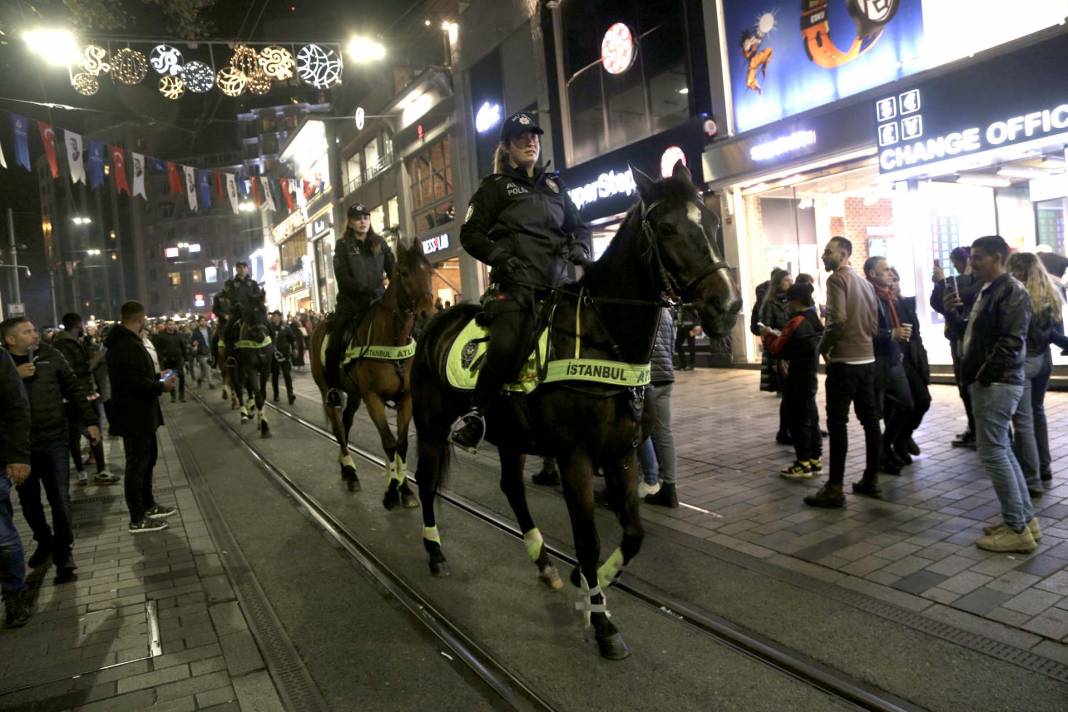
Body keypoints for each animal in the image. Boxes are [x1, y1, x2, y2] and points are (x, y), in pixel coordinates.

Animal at [311, 242, 435, 503]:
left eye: (429, 270)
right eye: (404, 273)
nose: (427, 313)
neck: (392, 339)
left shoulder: (406, 399)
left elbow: (401, 444)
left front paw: (405, 489)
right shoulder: (373, 399)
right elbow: (388, 443)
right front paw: (392, 491)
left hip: (353, 394)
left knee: (346, 423)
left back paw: (345, 469)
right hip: (328, 389)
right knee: (338, 428)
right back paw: (351, 472)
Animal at [407, 163, 743, 661]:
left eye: (713, 221)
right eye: (666, 228)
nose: (727, 305)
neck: (606, 337)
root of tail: (433, 323)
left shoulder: (621, 454)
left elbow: (634, 534)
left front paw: (587, 583)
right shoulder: (575, 459)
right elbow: (587, 538)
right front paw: (603, 623)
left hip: (509, 437)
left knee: (512, 488)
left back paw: (544, 561)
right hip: (431, 427)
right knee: (427, 484)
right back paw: (434, 553)